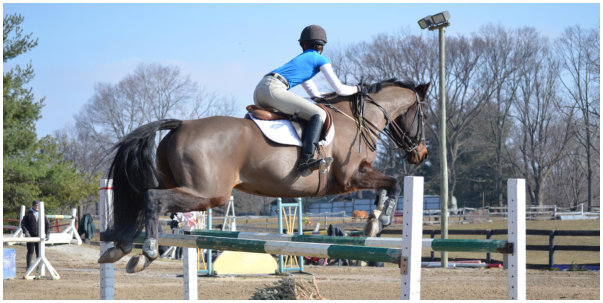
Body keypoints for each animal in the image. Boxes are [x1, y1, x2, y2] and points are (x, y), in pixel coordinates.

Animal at [98, 78, 430, 274]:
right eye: (423, 114)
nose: (421, 154)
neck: (357, 119)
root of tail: (181, 125)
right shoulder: (350, 178)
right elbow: (395, 183)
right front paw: (380, 220)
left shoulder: (357, 177)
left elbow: (387, 186)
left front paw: (374, 221)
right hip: (208, 193)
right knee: (153, 198)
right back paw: (145, 253)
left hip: (183, 185)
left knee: (144, 198)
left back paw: (119, 247)